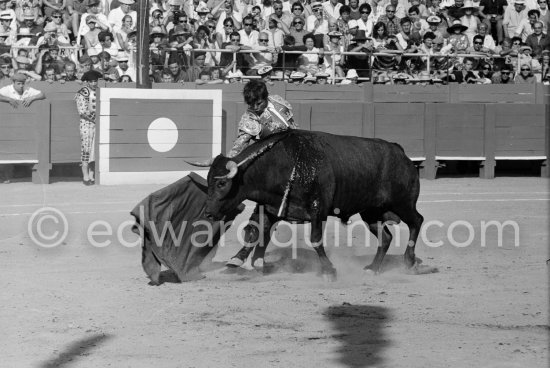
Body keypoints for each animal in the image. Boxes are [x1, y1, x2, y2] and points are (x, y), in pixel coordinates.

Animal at [205, 130, 424, 278]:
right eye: (208, 180)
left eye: (221, 183)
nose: (208, 213)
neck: (286, 163)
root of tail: (399, 151)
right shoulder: (270, 208)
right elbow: (257, 231)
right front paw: (238, 261)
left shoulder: (319, 209)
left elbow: (316, 239)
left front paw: (328, 270)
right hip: (371, 212)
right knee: (385, 237)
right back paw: (373, 268)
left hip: (403, 203)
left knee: (417, 221)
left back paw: (410, 261)